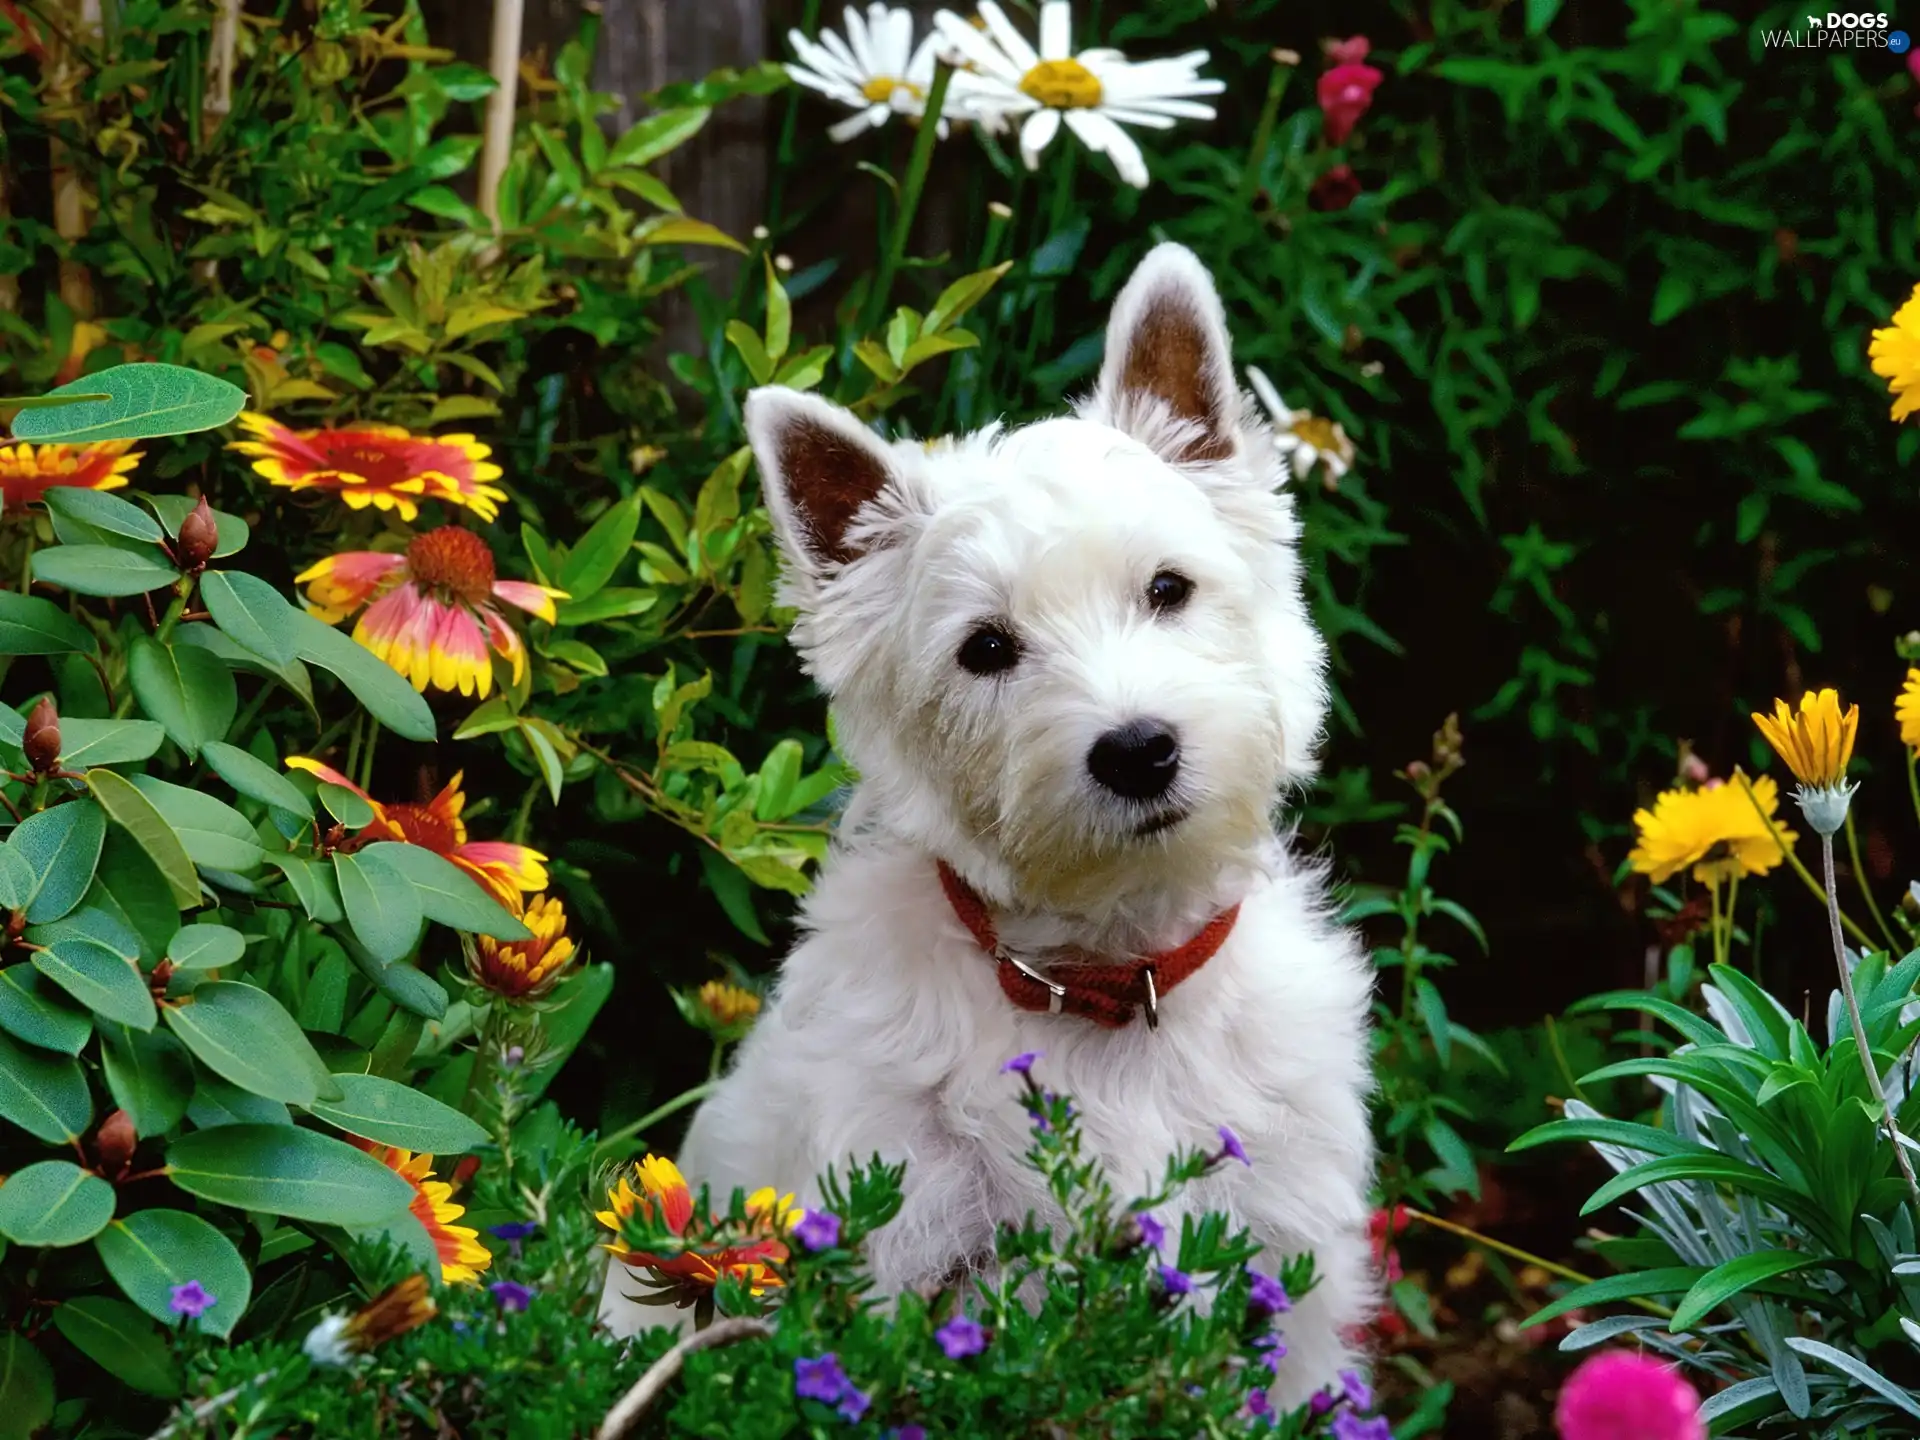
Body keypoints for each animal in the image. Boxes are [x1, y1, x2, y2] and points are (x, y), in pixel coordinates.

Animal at [606, 242, 1374, 1405]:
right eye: (987, 649)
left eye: (1167, 588)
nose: (1138, 750)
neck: (1109, 979)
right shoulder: (914, 1246)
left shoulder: (1290, 1267)